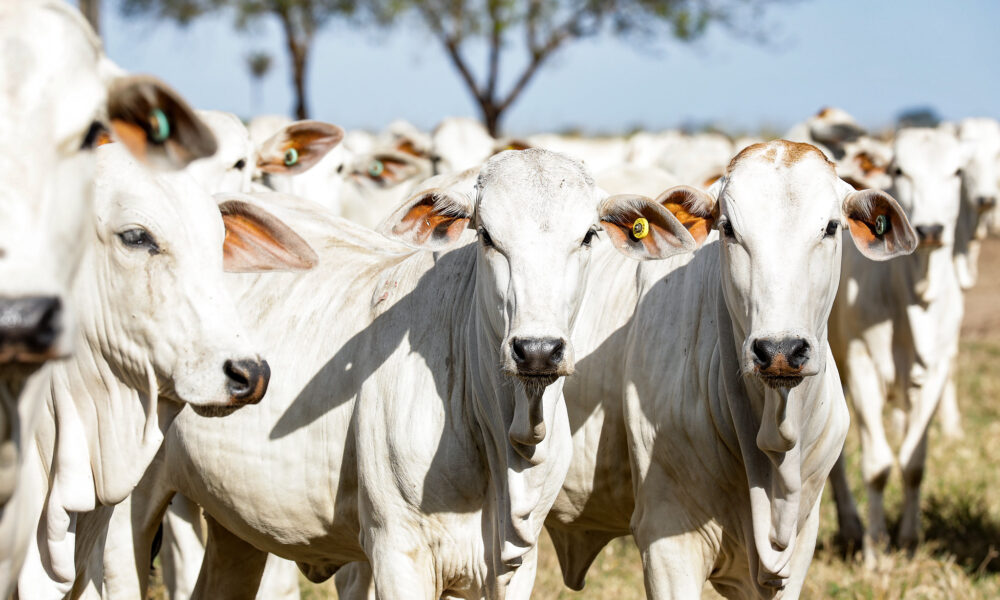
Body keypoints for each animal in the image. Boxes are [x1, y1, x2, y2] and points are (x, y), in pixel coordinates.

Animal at [115, 149, 696, 600]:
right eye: (487, 236)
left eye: (590, 235)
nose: (537, 350)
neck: (501, 435)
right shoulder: (399, 554)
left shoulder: (516, 566)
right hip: (126, 508)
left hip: (234, 525)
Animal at [828, 126, 968, 564]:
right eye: (899, 170)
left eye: (958, 171)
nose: (931, 230)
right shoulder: (861, 365)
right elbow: (877, 465)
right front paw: (876, 550)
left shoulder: (937, 369)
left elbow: (913, 462)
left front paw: (909, 541)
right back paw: (851, 526)